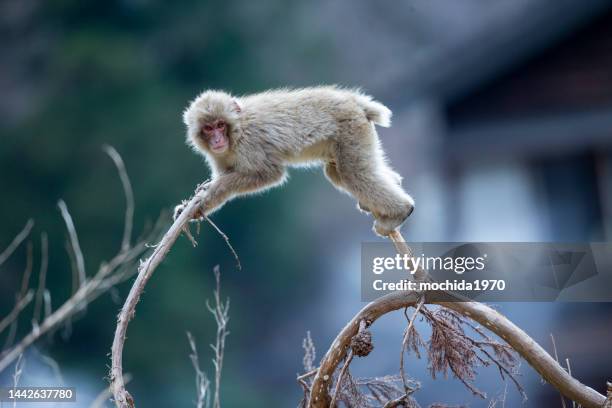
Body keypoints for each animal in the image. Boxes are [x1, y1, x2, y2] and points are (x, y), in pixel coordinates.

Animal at [177, 87, 416, 236]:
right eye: (208, 128)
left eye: (220, 125)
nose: (217, 140)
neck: (237, 130)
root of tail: (354, 102)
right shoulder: (219, 156)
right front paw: (193, 209)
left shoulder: (250, 144)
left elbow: (269, 174)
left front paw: (205, 198)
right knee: (340, 172)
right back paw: (392, 184)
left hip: (351, 130)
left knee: (353, 173)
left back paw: (401, 211)